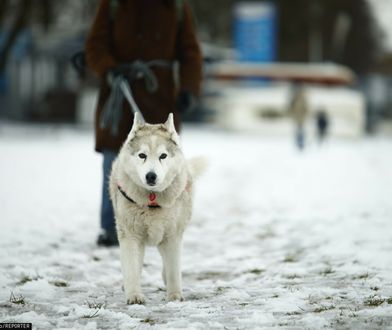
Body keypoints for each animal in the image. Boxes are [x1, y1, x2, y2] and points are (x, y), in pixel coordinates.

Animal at [108, 112, 204, 302]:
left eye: (163, 156)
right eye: (142, 155)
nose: (150, 176)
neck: (152, 200)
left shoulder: (172, 236)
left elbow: (174, 269)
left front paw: (174, 296)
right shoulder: (130, 235)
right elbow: (132, 267)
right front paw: (134, 295)